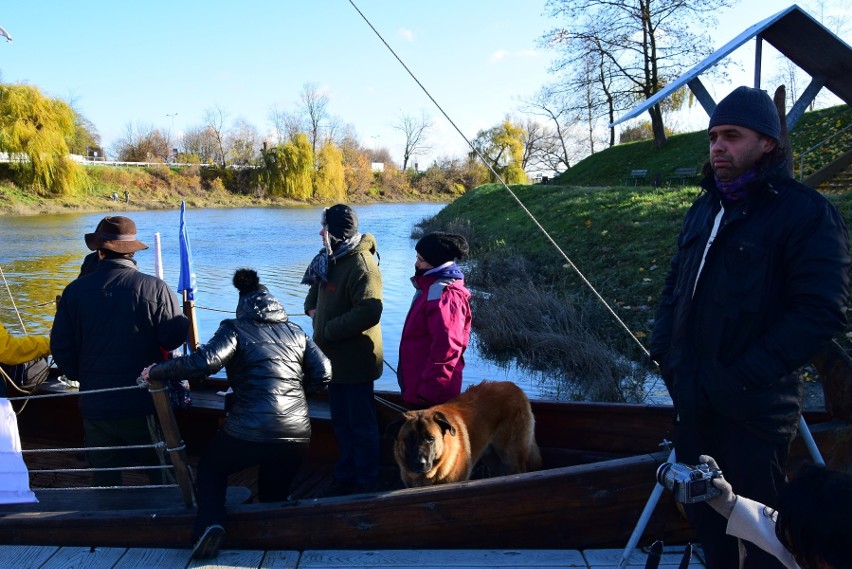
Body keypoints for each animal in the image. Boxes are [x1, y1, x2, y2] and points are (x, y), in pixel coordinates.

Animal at [392, 380, 544, 486]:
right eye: (409, 439)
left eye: (431, 438)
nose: (420, 463)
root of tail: (515, 387)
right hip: (491, 457)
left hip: (511, 458)